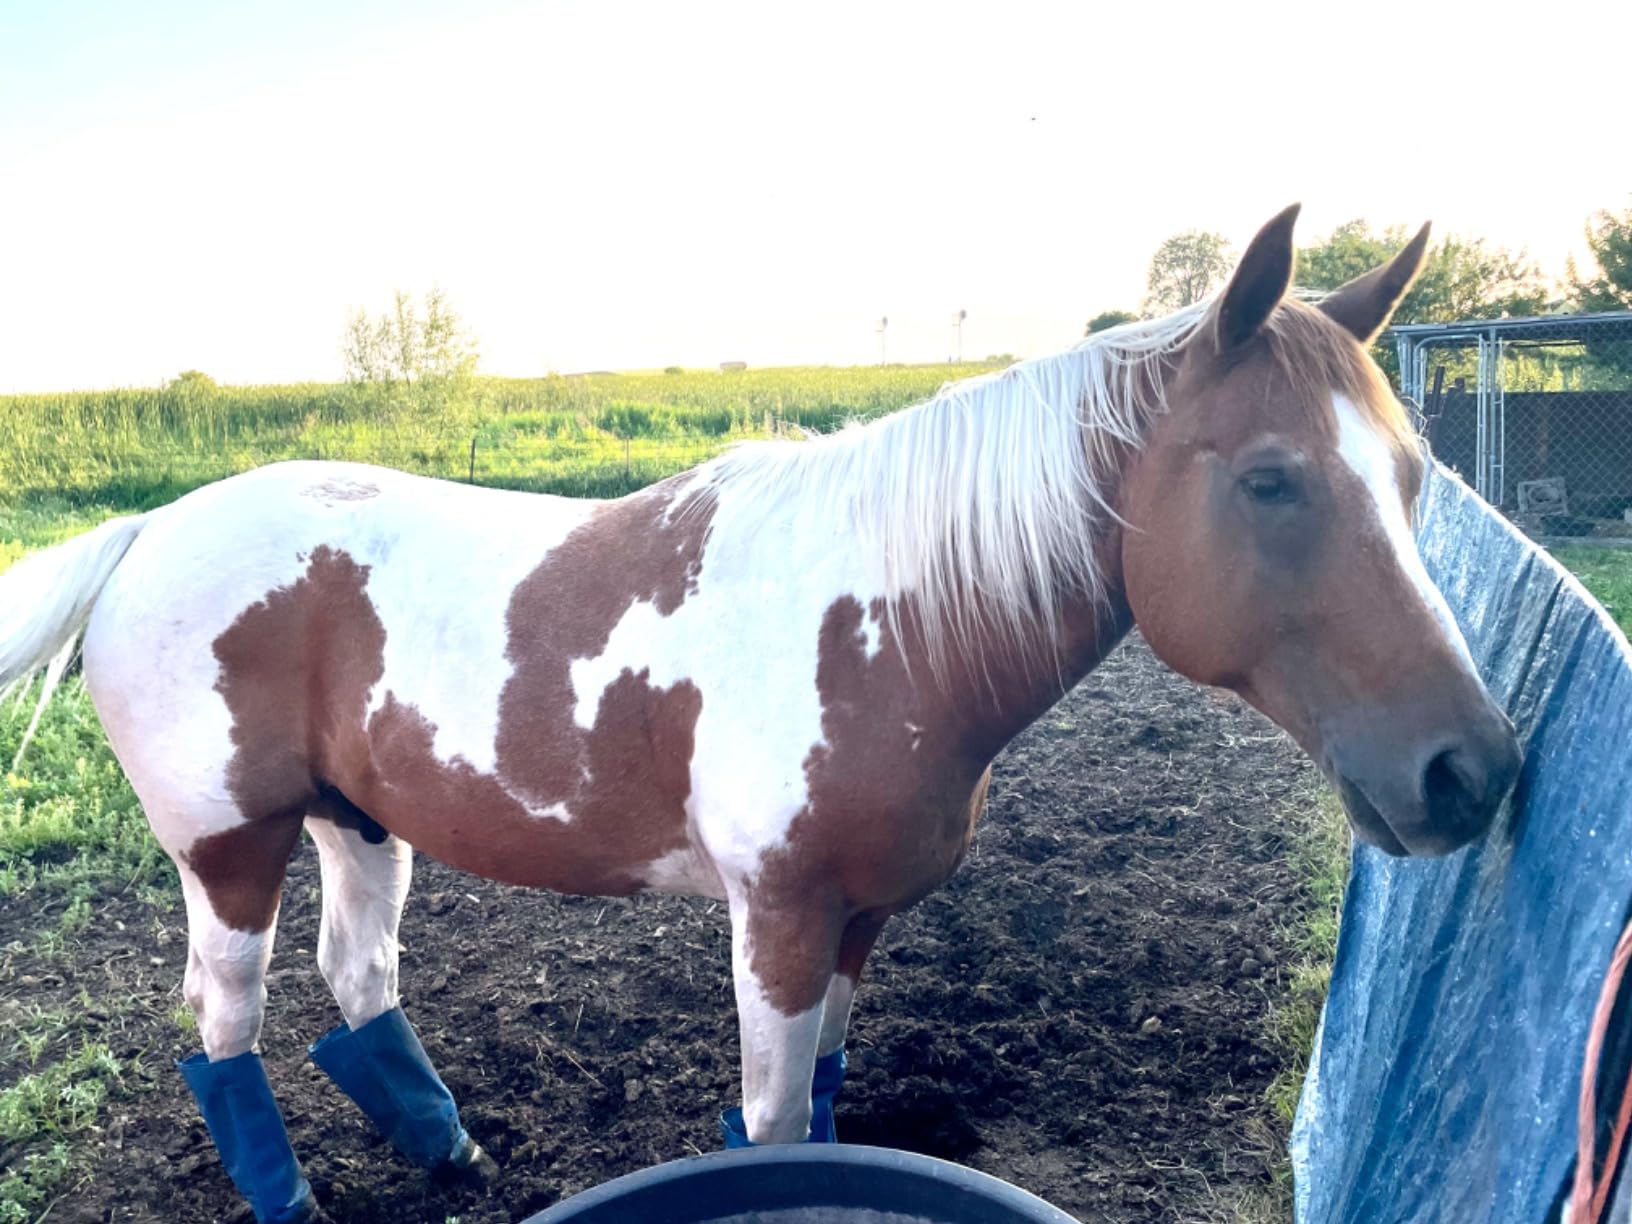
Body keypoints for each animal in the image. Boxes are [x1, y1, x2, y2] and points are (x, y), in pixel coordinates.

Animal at [0, 206, 1520, 1223]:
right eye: (1270, 479)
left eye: (1412, 475)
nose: (1473, 769)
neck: (889, 624)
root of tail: (144, 536)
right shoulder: (778, 916)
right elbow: (774, 1118)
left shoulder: (859, 913)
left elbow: (830, 1111)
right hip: (228, 846)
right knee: (228, 1020)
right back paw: (291, 1195)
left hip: (359, 821)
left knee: (357, 978)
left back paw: (449, 1151)